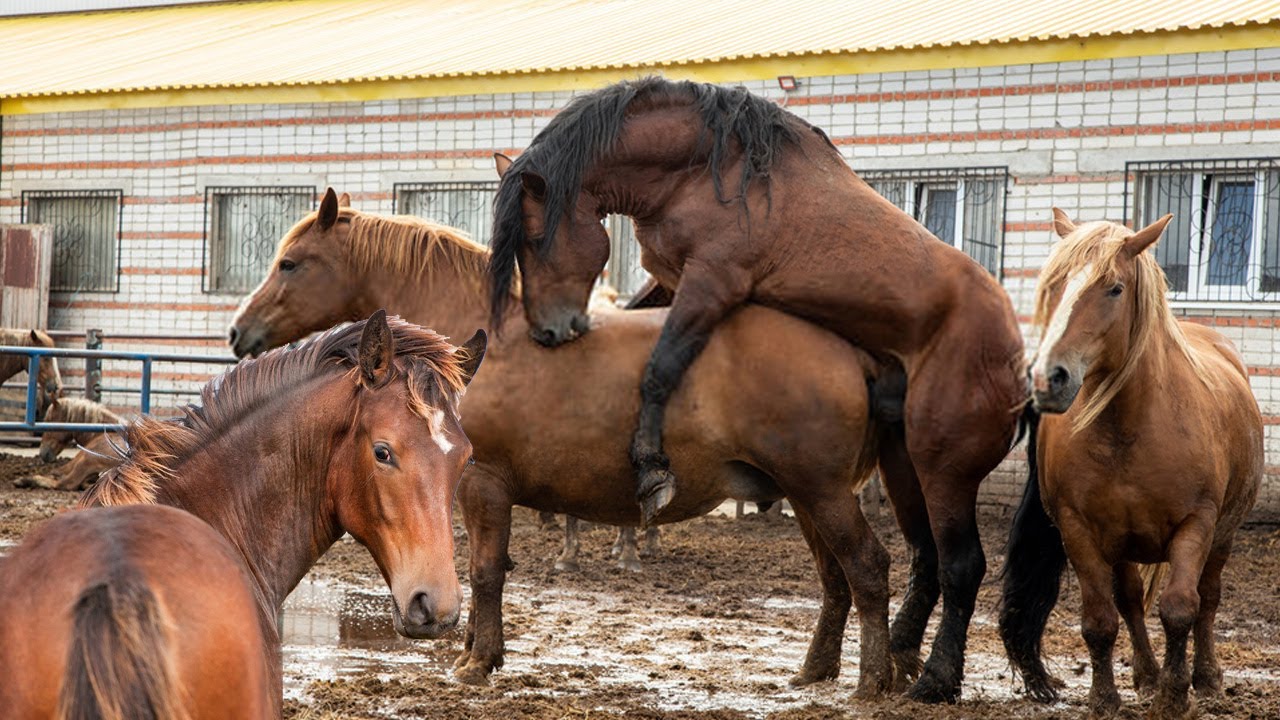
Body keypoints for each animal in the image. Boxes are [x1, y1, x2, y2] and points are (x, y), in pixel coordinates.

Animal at [228, 190, 895, 696]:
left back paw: (872, 681)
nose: (238, 332)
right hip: (807, 497)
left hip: (822, 493)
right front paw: (475, 649)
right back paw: (815, 671)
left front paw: (478, 660)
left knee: (866, 567)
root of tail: (849, 349)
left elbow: (486, 572)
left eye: (291, 263)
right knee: (835, 578)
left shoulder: (483, 483)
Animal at [485, 77, 1027, 701]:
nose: (548, 332)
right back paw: (899, 654)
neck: (701, 169)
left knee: (962, 565)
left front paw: (652, 467)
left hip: (945, 470)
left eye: (534, 236)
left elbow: (661, 365)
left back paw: (935, 678)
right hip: (903, 466)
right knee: (925, 558)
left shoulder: (711, 281)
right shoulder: (672, 280)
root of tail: (1015, 354)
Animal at [999, 211, 1263, 718]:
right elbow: (1101, 619)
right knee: (1130, 603)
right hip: (1120, 544)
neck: (1131, 429)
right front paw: (1106, 698)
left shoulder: (1196, 524)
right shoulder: (1079, 530)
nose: (1047, 378)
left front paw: (1176, 694)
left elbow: (1181, 607)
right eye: (1055, 285)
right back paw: (1144, 676)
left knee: (1208, 600)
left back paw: (1207, 677)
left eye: (1115, 289)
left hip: (1223, 534)